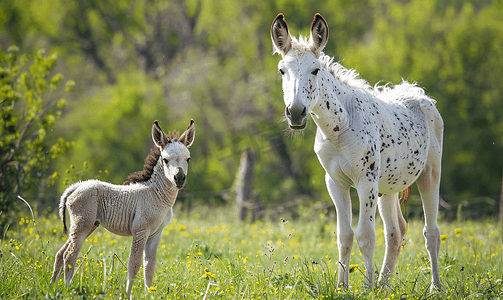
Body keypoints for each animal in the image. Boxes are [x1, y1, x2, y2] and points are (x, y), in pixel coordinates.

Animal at [49, 119, 195, 298]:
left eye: (188, 159)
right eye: (166, 160)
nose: (179, 178)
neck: (156, 195)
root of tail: (76, 187)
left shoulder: (156, 234)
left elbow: (149, 266)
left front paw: (149, 294)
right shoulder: (140, 231)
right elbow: (134, 263)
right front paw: (127, 295)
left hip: (87, 227)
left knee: (60, 253)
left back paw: (53, 287)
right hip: (82, 226)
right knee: (70, 256)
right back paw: (68, 289)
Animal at [272, 14, 444, 290]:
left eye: (315, 70)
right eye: (282, 70)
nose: (296, 113)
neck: (340, 127)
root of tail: (420, 94)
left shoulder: (365, 181)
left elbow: (366, 236)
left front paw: (366, 288)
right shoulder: (335, 183)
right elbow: (344, 236)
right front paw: (342, 287)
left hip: (429, 173)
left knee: (431, 232)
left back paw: (434, 287)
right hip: (388, 187)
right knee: (396, 232)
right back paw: (384, 286)